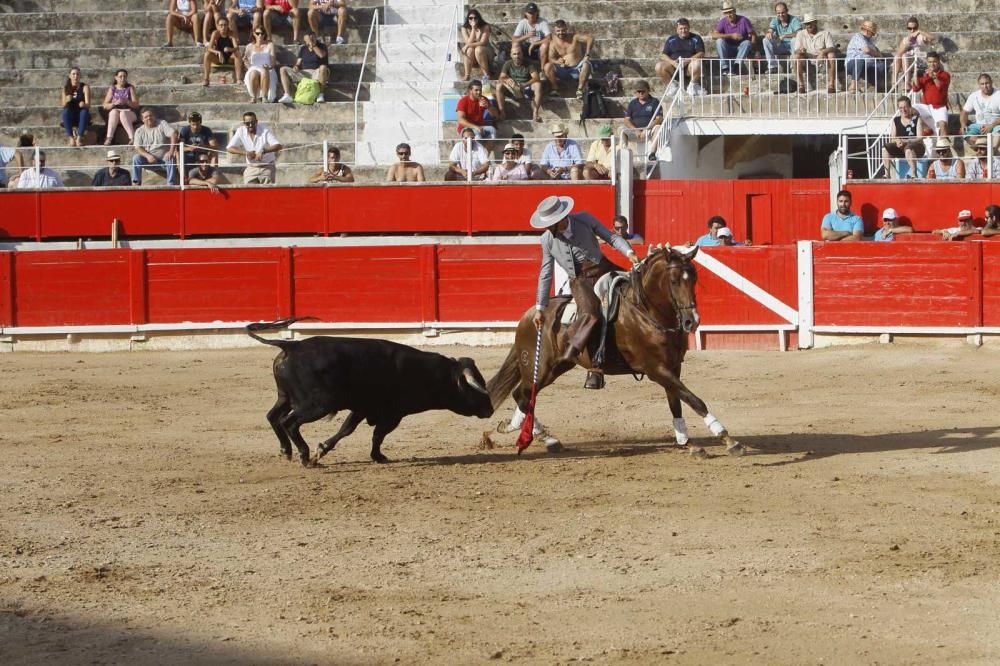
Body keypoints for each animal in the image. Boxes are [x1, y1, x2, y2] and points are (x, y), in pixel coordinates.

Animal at [248, 320, 494, 464]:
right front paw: (376, 456)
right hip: (317, 404)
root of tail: (291, 346)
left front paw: (326, 448)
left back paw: (286, 450)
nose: (490, 409)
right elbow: (377, 434)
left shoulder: (362, 408)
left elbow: (349, 430)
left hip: (285, 397)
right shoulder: (392, 413)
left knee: (273, 417)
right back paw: (305, 456)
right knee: (289, 422)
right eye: (474, 387)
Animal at [484, 244, 744, 456]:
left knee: (523, 395)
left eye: (694, 278)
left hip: (558, 366)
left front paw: (687, 442)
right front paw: (727, 439)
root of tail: (532, 314)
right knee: (523, 395)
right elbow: (694, 399)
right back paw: (545, 438)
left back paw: (536, 436)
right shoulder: (656, 369)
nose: (692, 321)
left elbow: (676, 402)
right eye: (674, 281)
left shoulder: (672, 367)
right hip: (541, 367)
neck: (647, 312)